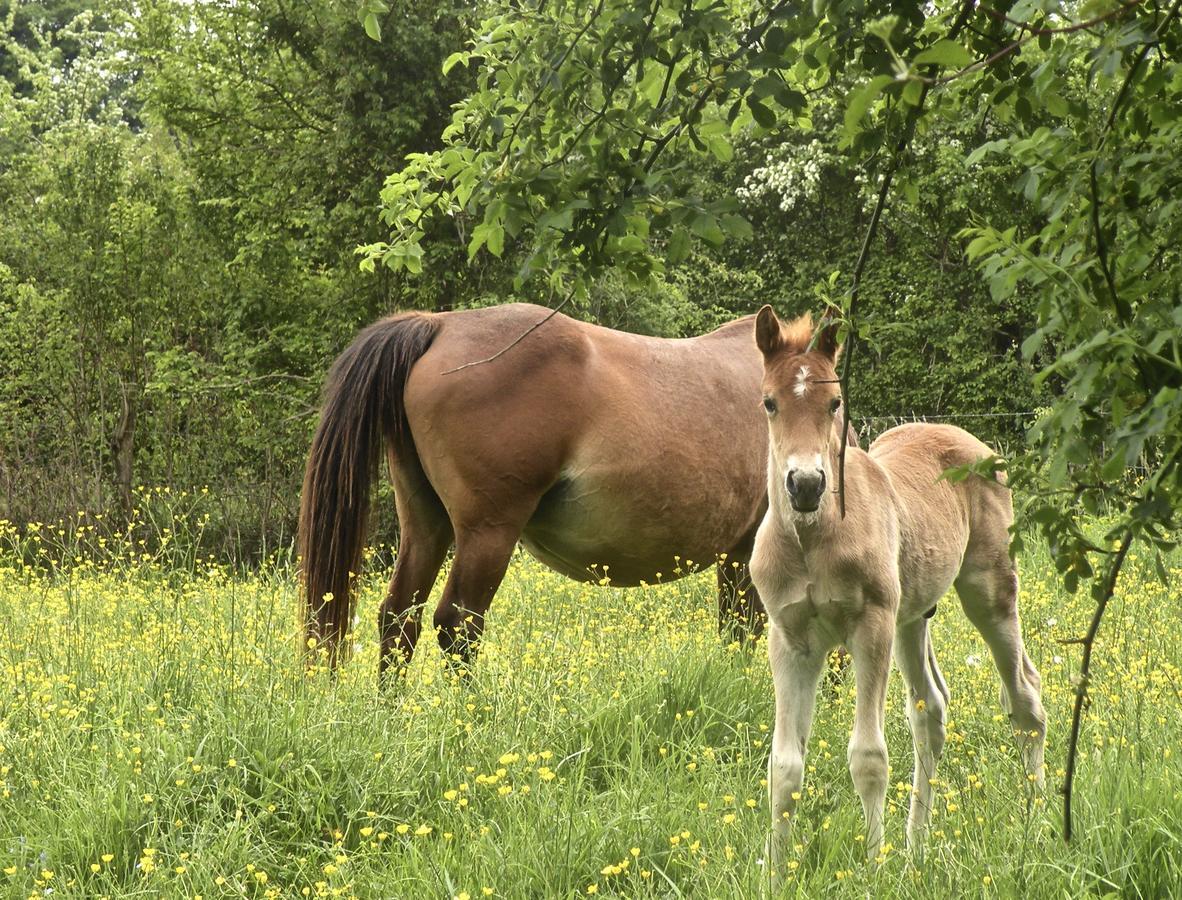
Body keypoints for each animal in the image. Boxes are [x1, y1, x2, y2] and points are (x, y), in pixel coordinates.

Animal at [300, 301, 770, 671]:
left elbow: (737, 630)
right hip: (488, 533)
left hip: (425, 526)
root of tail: (439, 325)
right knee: (457, 624)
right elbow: (751, 630)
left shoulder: (737, 554)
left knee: (399, 618)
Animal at [747, 302, 1044, 879]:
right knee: (931, 710)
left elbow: (868, 756)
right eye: (769, 402)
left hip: (989, 591)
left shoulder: (872, 626)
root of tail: (980, 446)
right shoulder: (790, 638)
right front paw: (772, 872)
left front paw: (872, 868)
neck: (812, 540)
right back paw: (916, 850)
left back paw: (1037, 826)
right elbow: (785, 766)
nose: (806, 485)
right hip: (913, 617)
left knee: (1026, 697)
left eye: (835, 401)